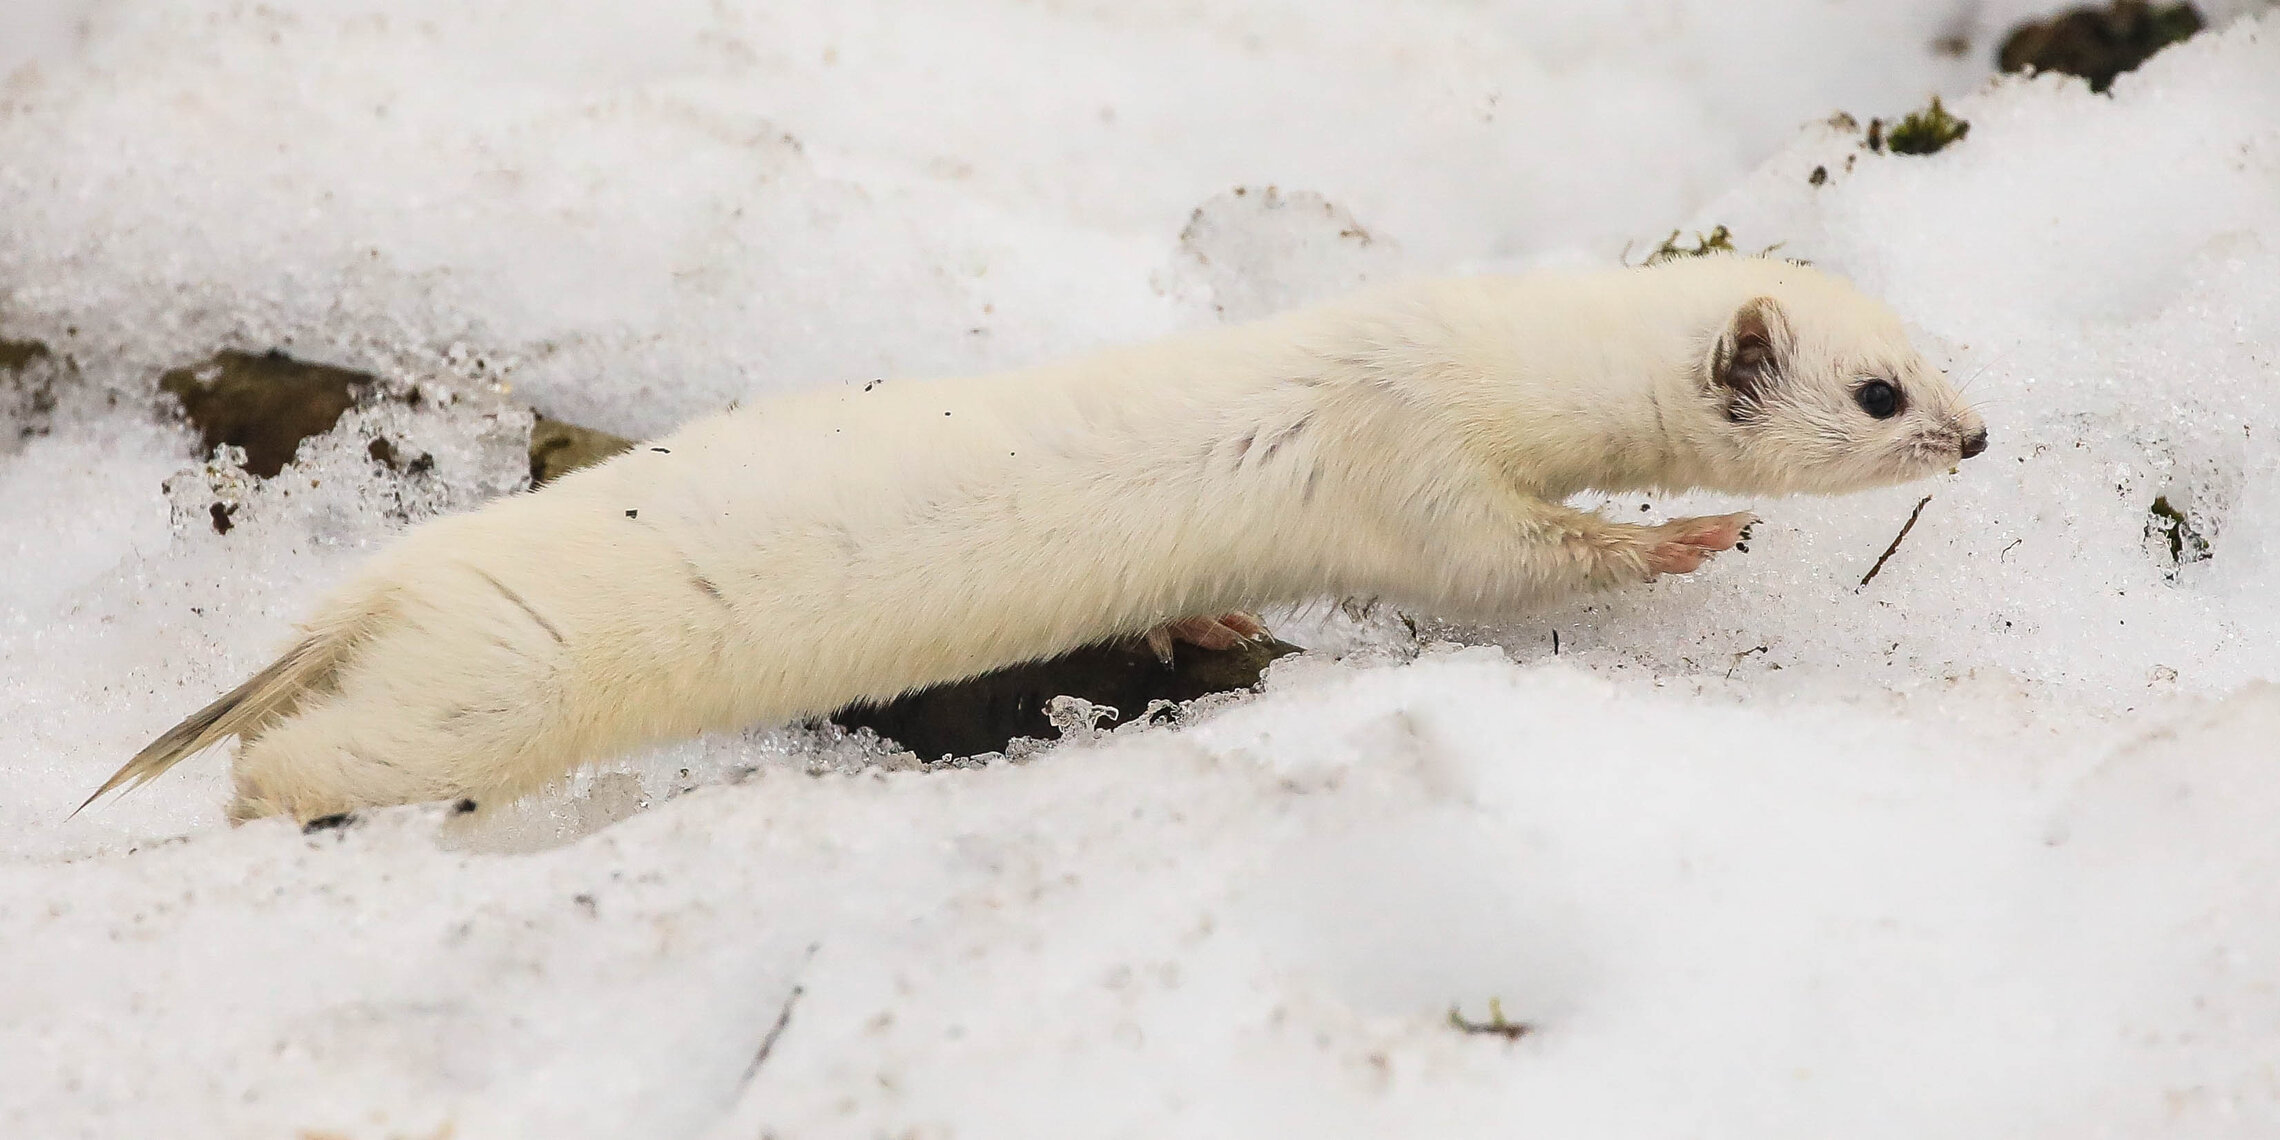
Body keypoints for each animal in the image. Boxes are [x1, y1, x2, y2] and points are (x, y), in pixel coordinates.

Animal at [84, 257, 1979, 820]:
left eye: (1933, 343)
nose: (1979, 435)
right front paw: (1684, 541)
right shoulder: (1412, 475)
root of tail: (379, 577)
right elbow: (1504, 559)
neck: (1444, 339)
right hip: (483, 695)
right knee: (295, 759)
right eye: (1882, 389)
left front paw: (1205, 631)